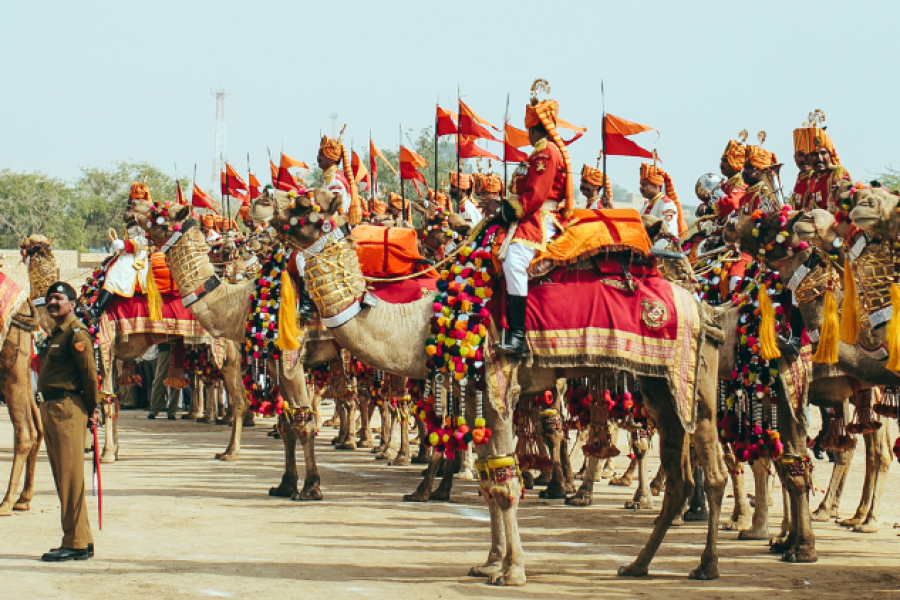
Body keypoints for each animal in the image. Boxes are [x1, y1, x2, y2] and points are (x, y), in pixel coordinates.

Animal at [270, 186, 728, 580]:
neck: (426, 322)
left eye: (306, 203)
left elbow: (507, 480)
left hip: (694, 380)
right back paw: (638, 564)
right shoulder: (478, 392)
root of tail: (702, 307)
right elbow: (490, 477)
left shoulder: (498, 382)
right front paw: (490, 562)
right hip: (658, 387)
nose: (266, 200)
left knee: (712, 466)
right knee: (680, 475)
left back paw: (705, 565)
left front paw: (513, 571)